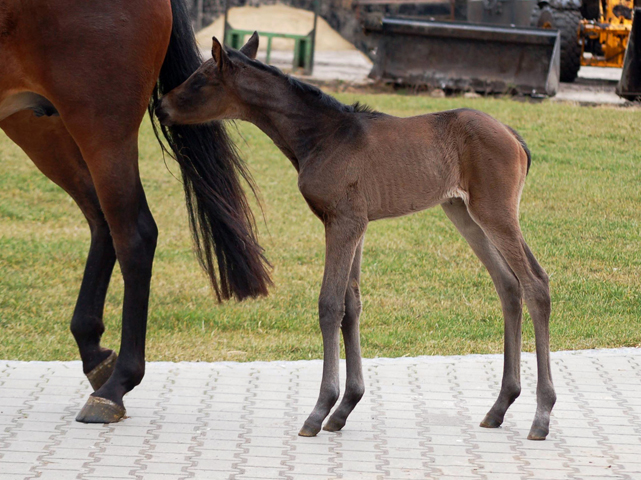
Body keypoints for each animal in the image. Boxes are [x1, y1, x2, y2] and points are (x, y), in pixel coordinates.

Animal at [156, 31, 556, 440]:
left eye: (200, 79)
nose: (160, 106)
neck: (324, 136)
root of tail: (514, 137)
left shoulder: (343, 222)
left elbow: (329, 305)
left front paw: (319, 409)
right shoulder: (356, 225)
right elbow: (352, 306)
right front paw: (345, 407)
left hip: (495, 212)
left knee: (536, 282)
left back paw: (541, 416)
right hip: (464, 213)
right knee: (508, 285)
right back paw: (500, 406)